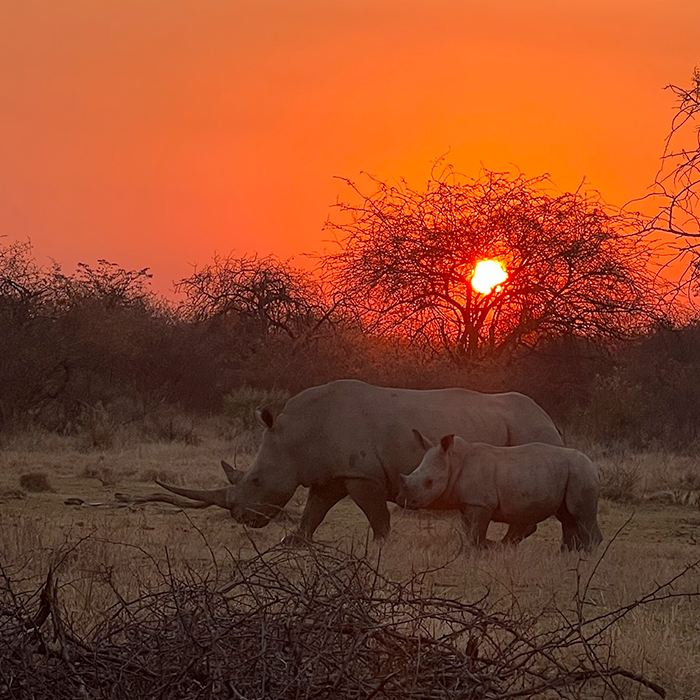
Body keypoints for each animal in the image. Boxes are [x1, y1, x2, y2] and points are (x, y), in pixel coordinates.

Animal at [157, 379, 563, 542]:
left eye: (256, 480)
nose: (243, 518)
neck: (292, 437)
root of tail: (550, 418)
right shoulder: (330, 474)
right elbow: (313, 512)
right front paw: (292, 542)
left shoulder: (362, 474)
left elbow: (376, 515)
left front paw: (382, 545)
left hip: (532, 430)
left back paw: (501, 546)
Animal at [397, 432, 602, 551]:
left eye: (429, 482)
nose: (401, 500)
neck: (453, 461)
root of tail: (592, 464)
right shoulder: (468, 502)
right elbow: (469, 529)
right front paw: (485, 547)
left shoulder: (480, 503)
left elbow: (475, 531)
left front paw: (481, 549)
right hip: (567, 473)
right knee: (566, 516)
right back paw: (567, 553)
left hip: (580, 472)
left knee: (581, 514)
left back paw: (588, 554)